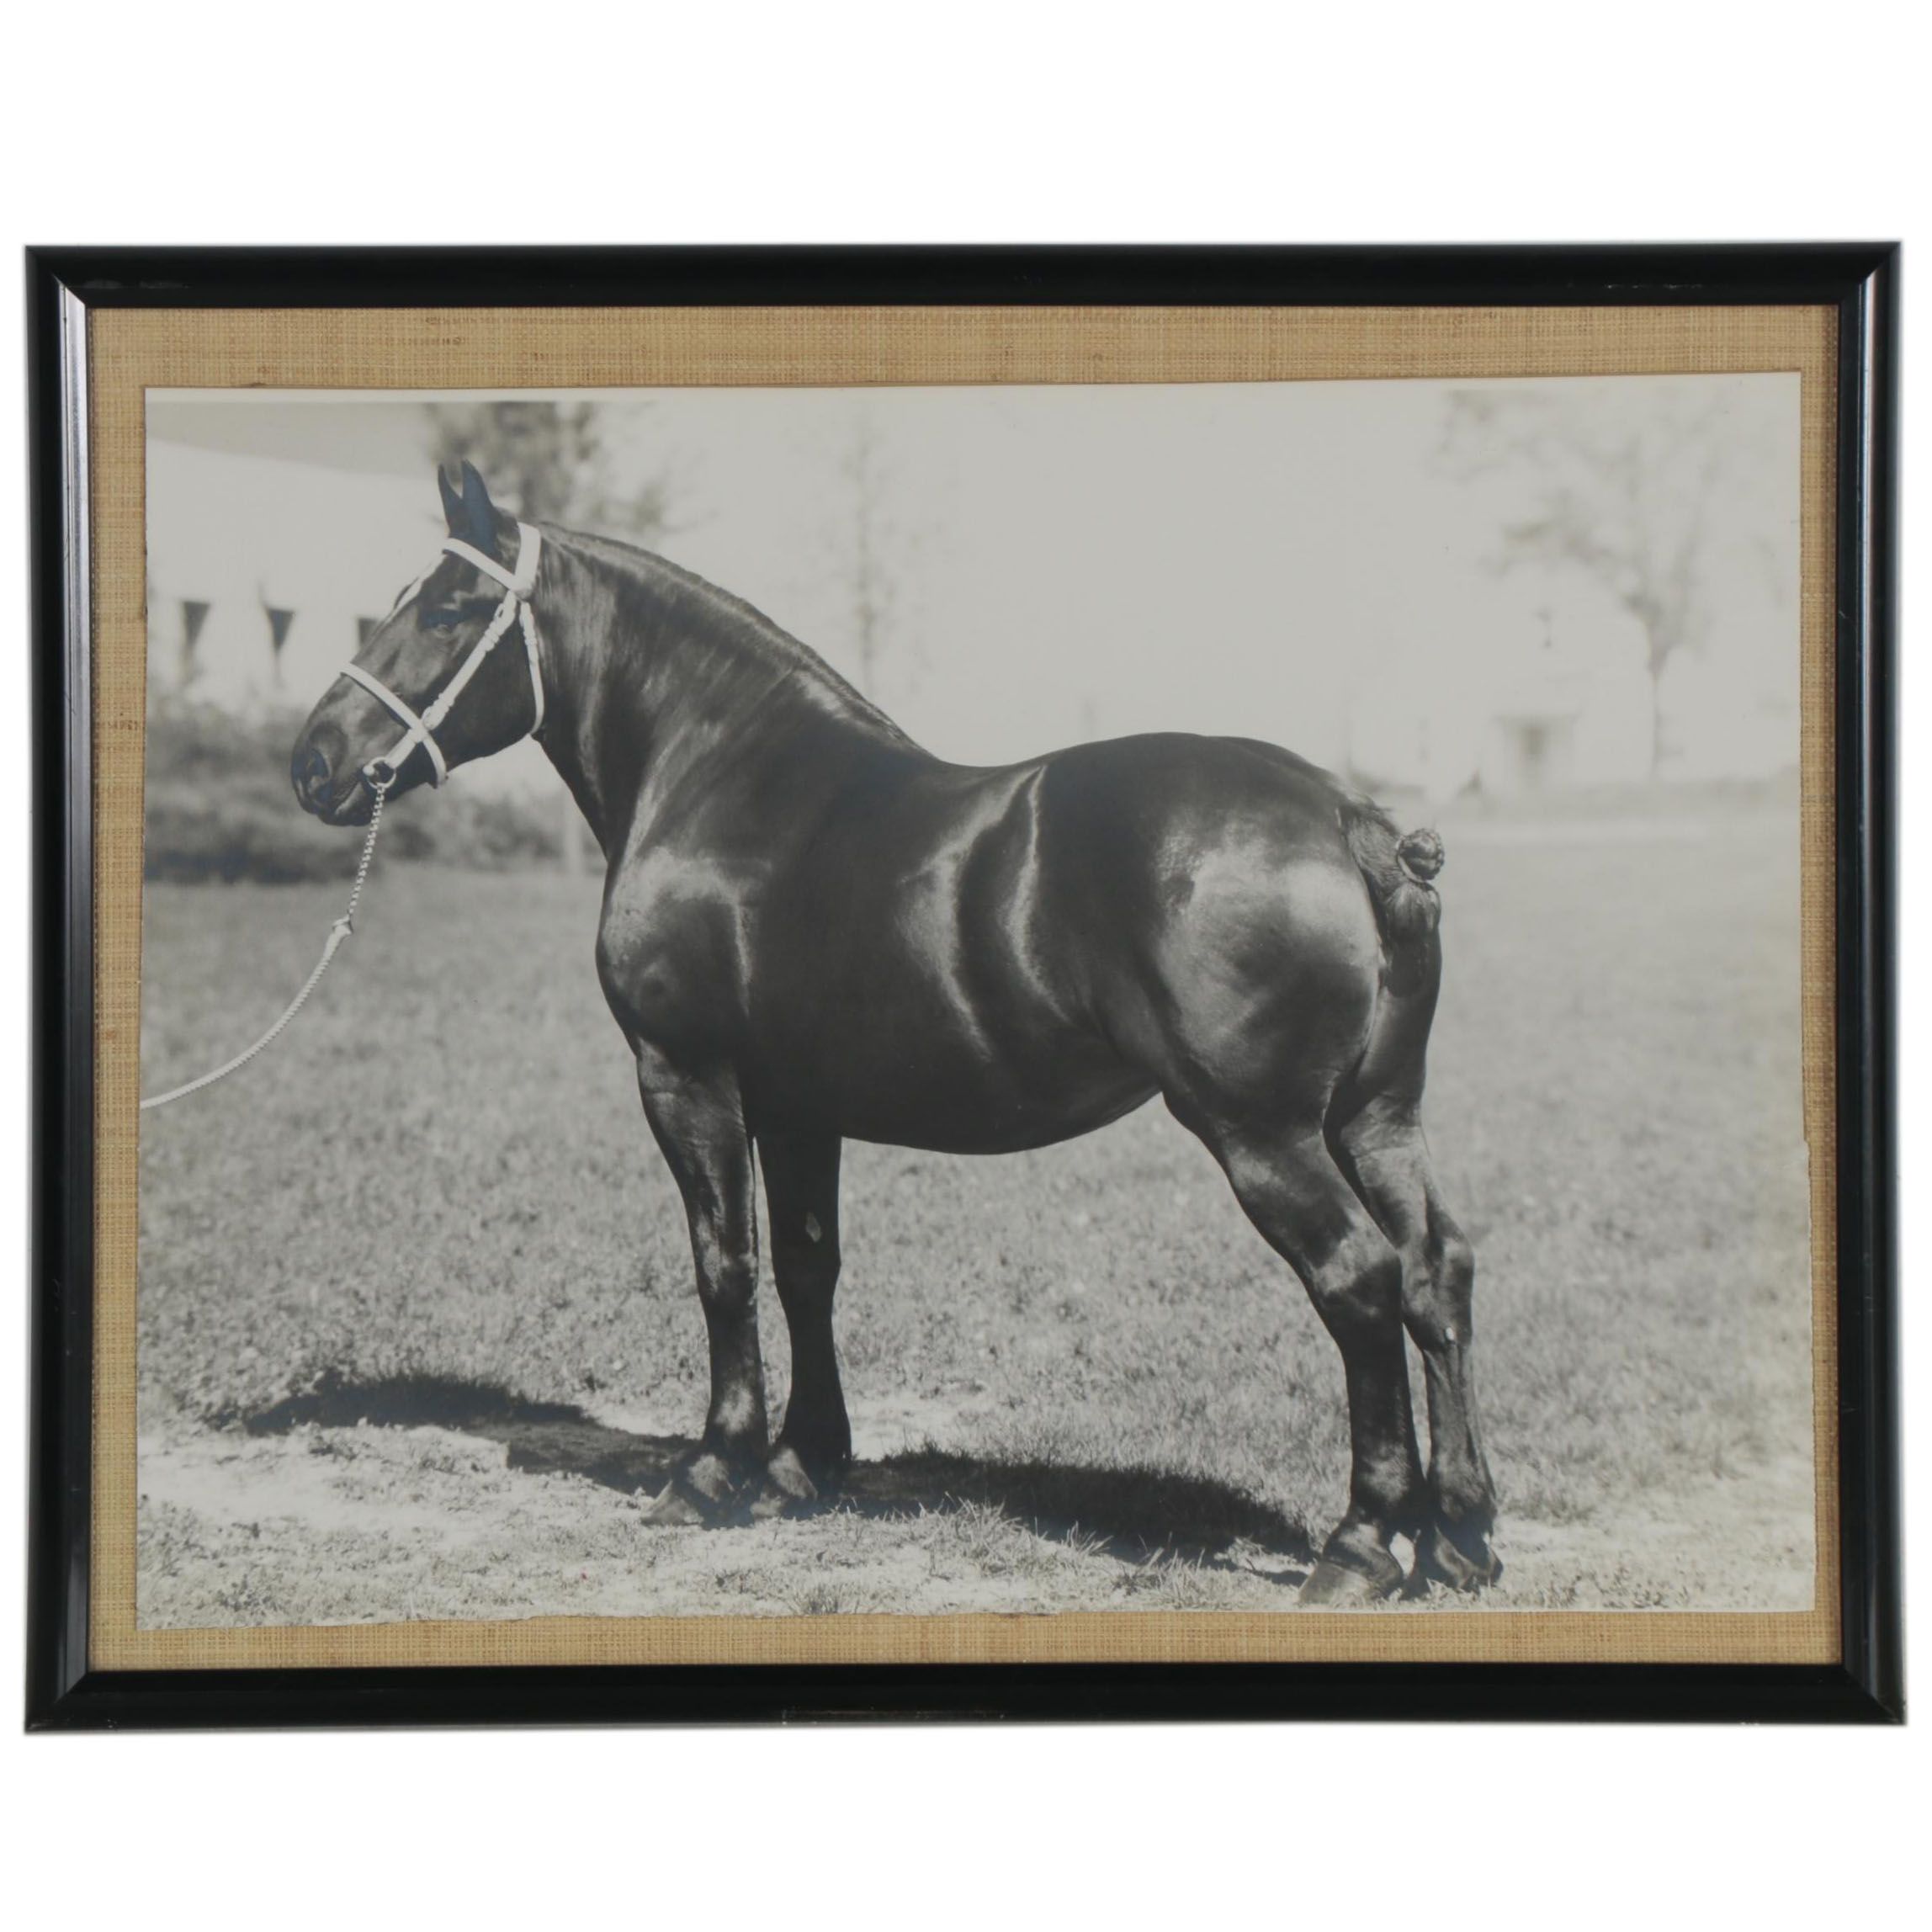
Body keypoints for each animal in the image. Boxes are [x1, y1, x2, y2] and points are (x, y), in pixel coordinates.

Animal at [290, 460, 1499, 1603]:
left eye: (447, 608)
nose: (315, 761)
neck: (723, 783)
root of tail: (1347, 819)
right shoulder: (794, 1106)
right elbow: (805, 1266)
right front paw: (804, 1462)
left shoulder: (686, 1078)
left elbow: (723, 1263)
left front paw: (715, 1470)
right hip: (1377, 1115)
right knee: (1435, 1267)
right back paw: (1462, 1537)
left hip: (1262, 1131)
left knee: (1357, 1277)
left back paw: (1360, 1544)